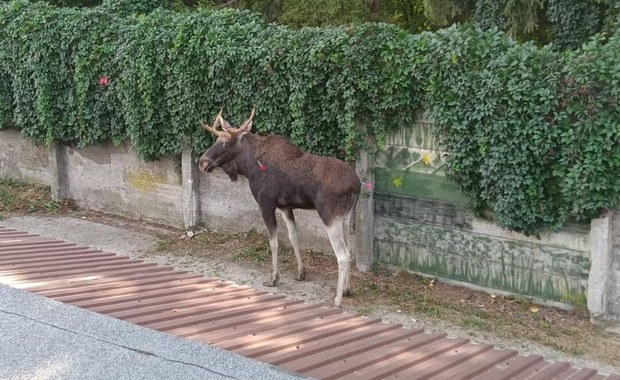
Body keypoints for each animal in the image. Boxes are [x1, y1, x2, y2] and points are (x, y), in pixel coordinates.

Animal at [201, 108, 360, 308]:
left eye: (226, 143)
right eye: (215, 140)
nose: (202, 162)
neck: (249, 167)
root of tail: (357, 185)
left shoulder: (266, 204)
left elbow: (274, 242)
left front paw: (274, 278)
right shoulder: (285, 206)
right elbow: (293, 237)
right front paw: (301, 272)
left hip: (329, 216)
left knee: (343, 255)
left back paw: (337, 299)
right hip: (345, 217)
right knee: (350, 251)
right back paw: (347, 289)